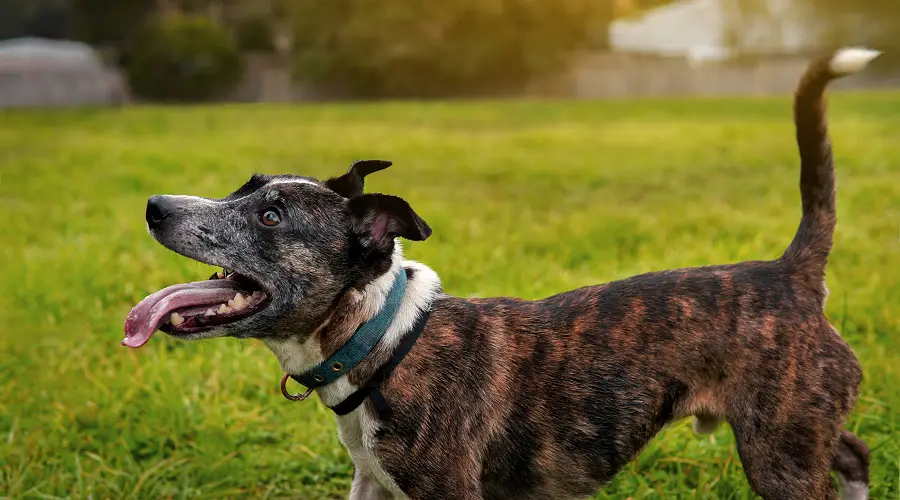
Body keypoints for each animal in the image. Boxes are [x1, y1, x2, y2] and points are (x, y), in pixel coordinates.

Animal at [123, 47, 876, 500]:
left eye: (272, 216)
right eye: (245, 186)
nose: (156, 206)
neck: (383, 339)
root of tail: (790, 274)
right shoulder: (372, 483)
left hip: (778, 453)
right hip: (799, 434)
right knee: (855, 453)